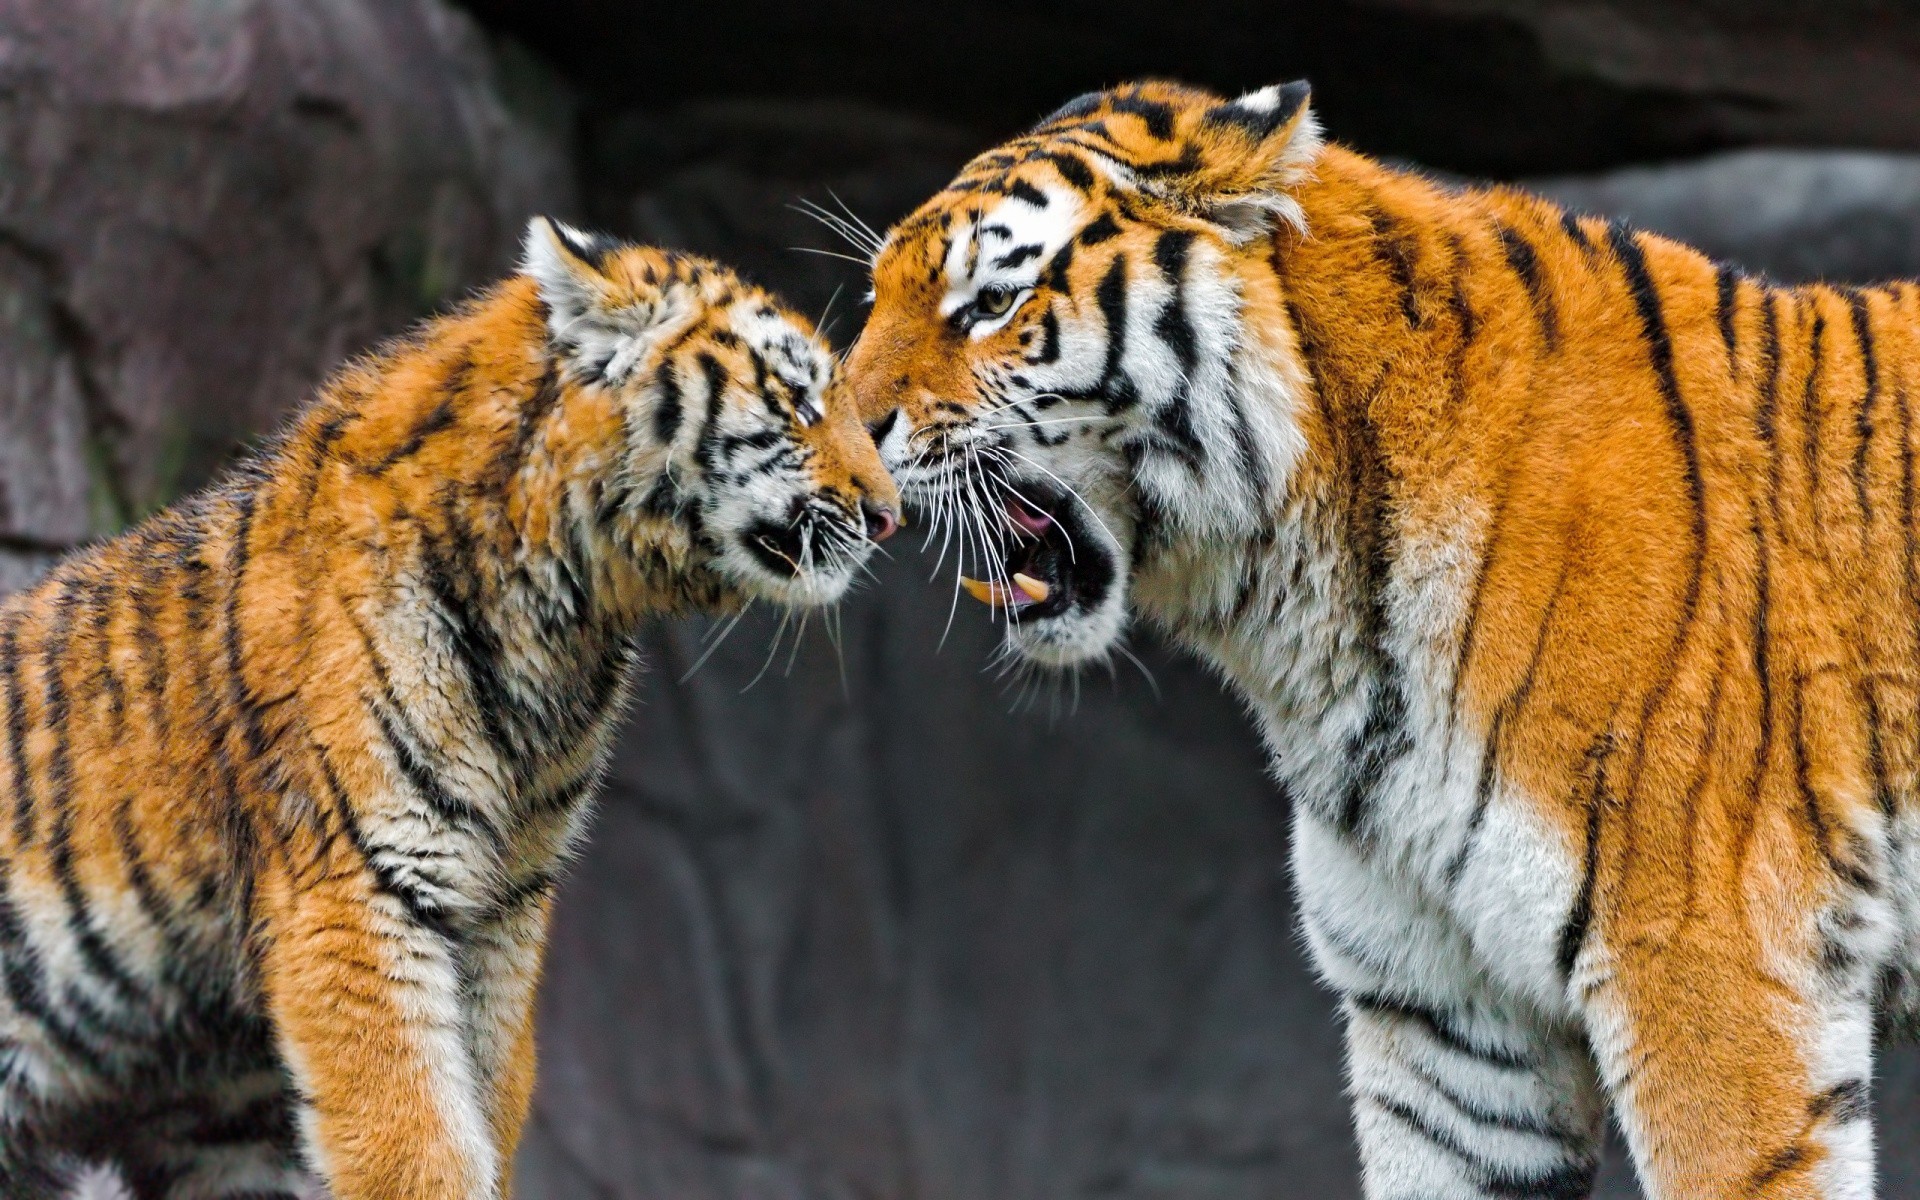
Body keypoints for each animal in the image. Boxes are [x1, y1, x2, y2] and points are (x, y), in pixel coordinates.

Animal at [0, 217, 894, 1198]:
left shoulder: (503, 903)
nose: (890, 514)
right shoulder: (360, 887)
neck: (565, 623)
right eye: (799, 400)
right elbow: (415, 1138)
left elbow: (483, 1103)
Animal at [844, 79, 1920, 1190]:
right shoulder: (1448, 1019)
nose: (841, 440)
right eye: (877, 298)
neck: (1313, 620)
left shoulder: (1710, 965)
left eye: (988, 304)